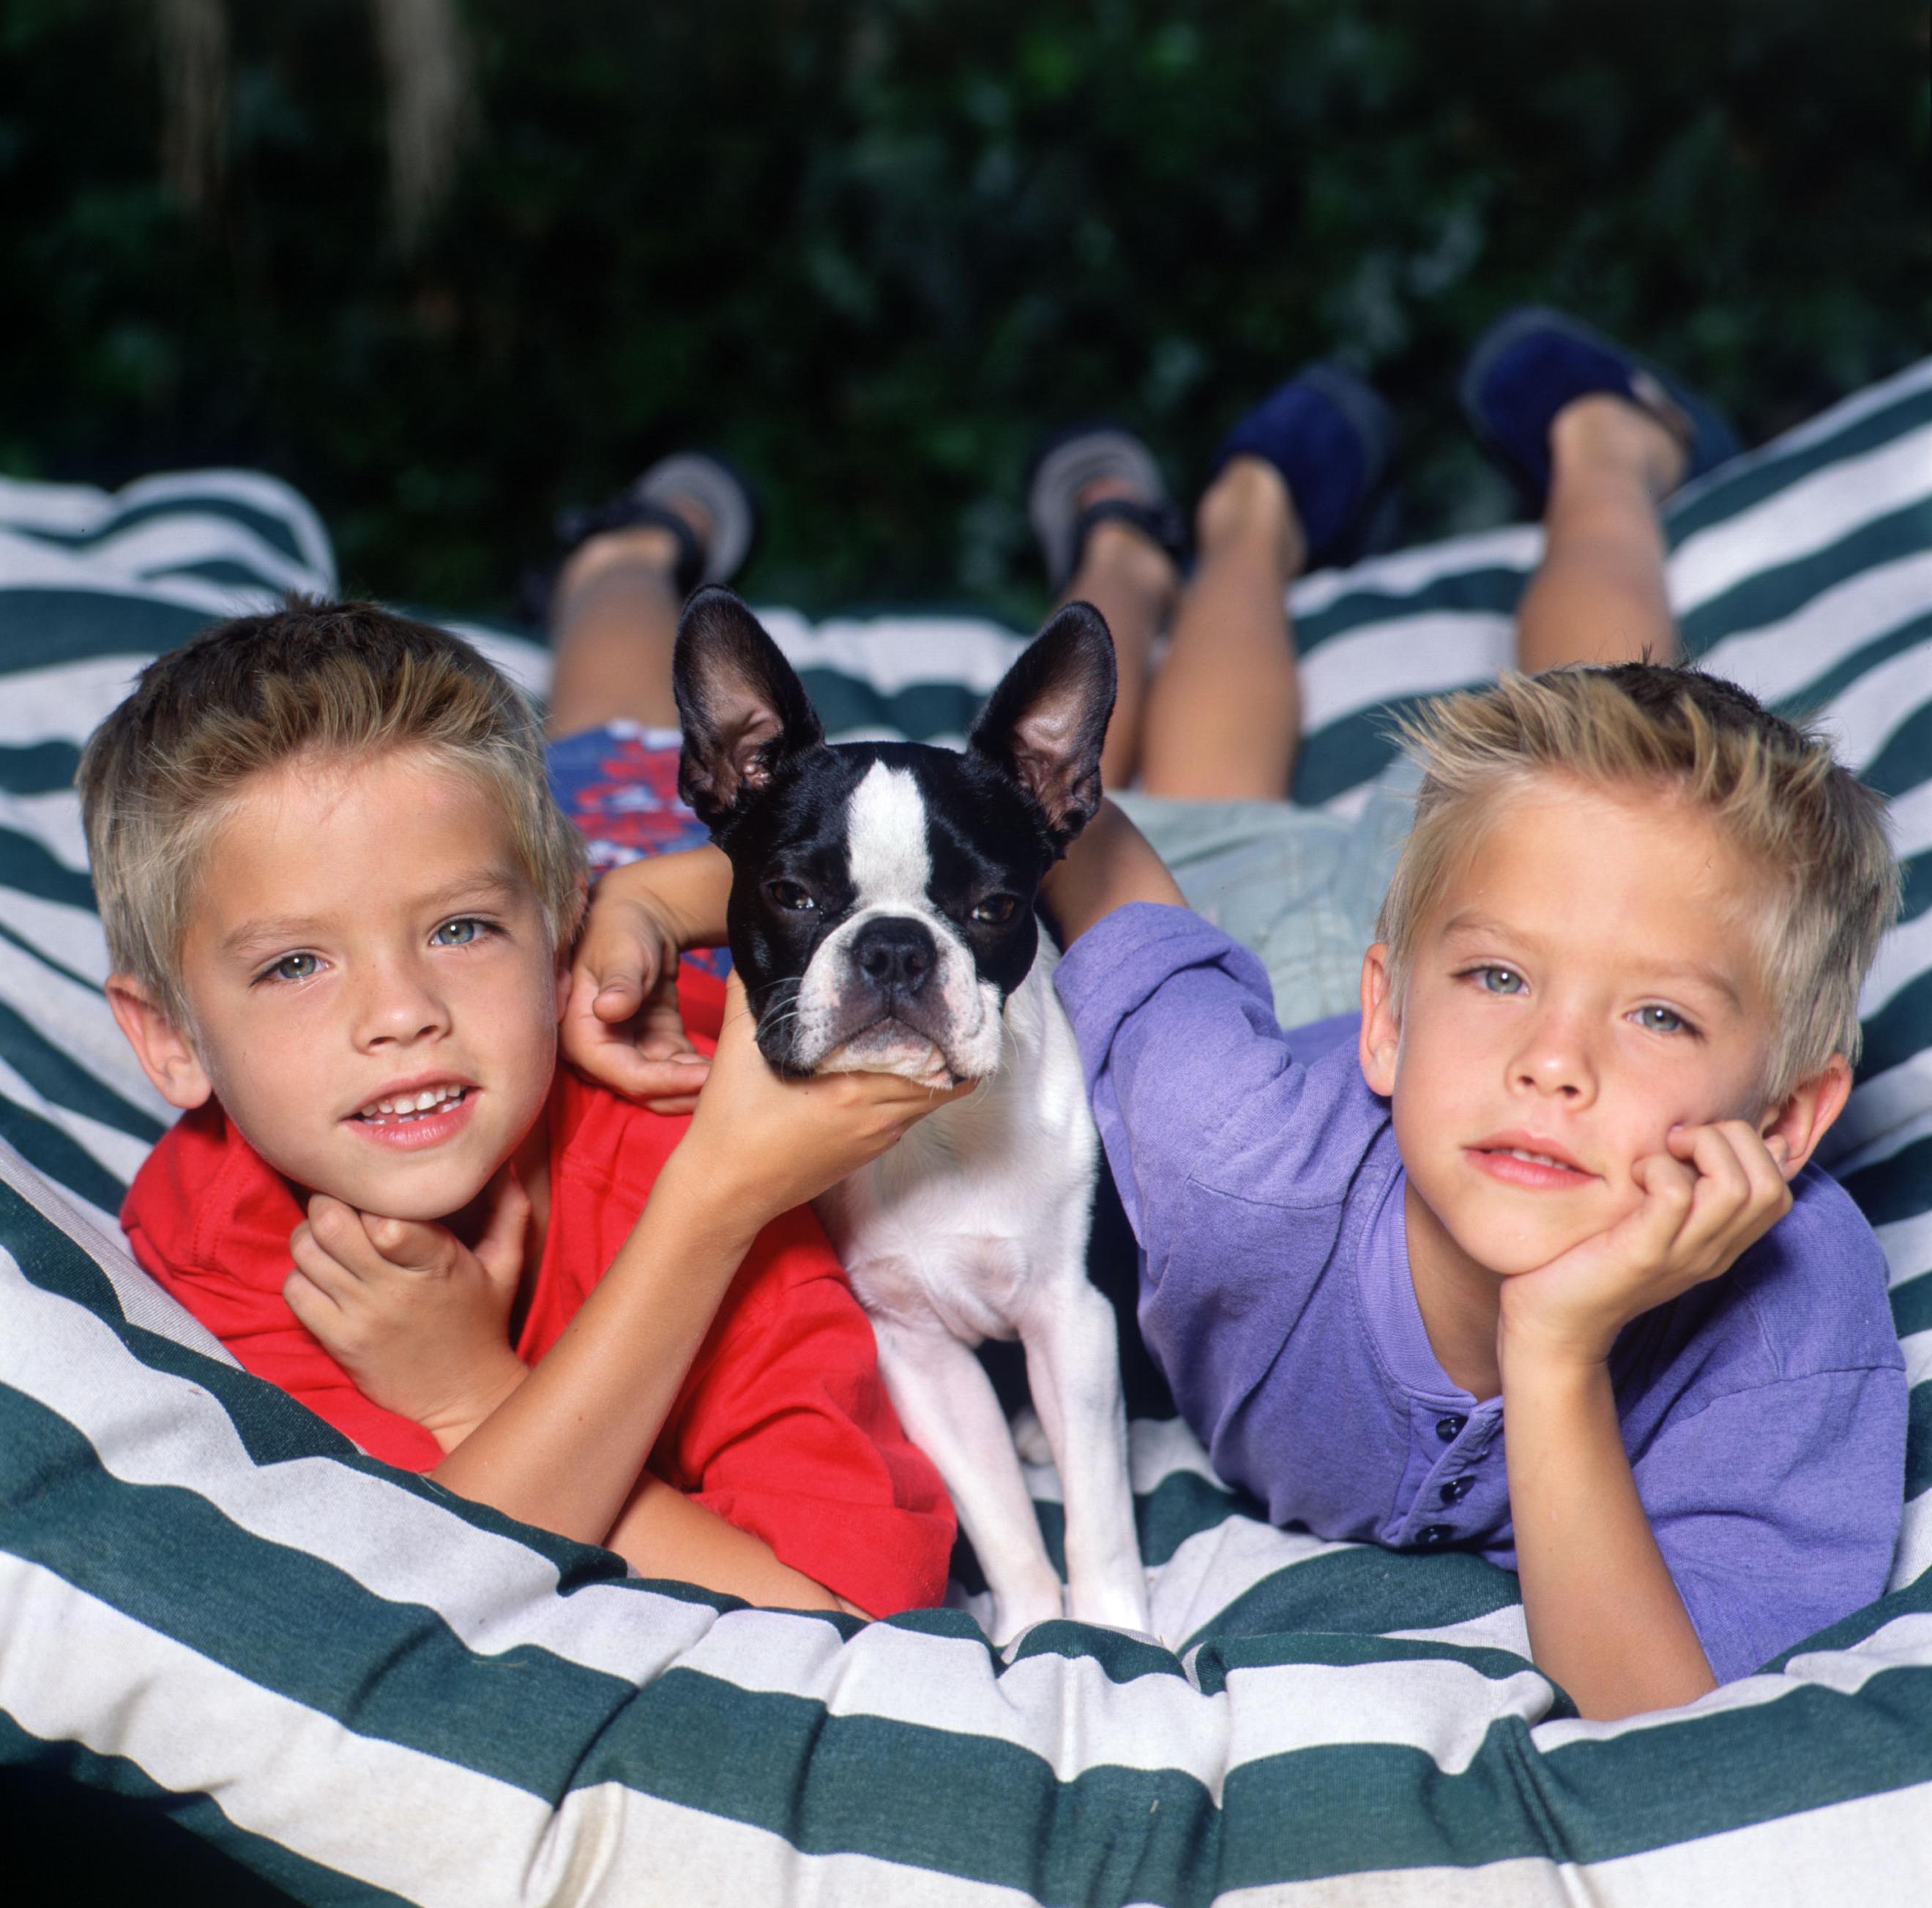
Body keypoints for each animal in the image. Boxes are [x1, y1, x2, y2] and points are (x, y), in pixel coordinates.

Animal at [676, 584, 1144, 1639]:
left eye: (996, 907)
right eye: (790, 893)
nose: (893, 945)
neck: (936, 1133)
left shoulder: (1074, 1314)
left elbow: (1096, 1511)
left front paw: (1110, 1633)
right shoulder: (914, 1348)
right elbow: (996, 1512)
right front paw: (1030, 1628)